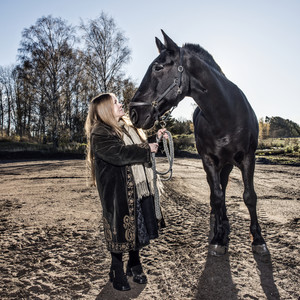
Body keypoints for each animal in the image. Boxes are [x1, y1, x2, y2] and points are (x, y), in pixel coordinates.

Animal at [130, 30, 268, 255]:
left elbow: (249, 196)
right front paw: (218, 237)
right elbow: (217, 196)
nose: (134, 112)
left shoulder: (249, 158)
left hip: (228, 164)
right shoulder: (208, 160)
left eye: (158, 67)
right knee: (217, 191)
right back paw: (219, 222)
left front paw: (257, 239)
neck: (226, 115)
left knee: (224, 186)